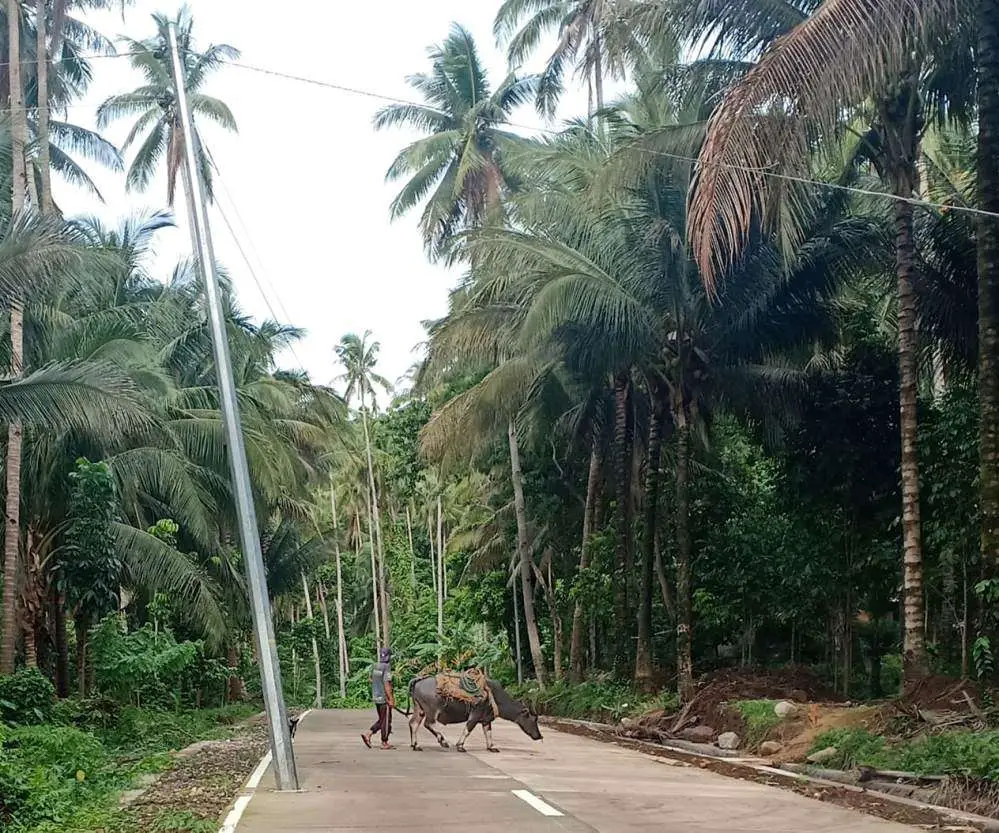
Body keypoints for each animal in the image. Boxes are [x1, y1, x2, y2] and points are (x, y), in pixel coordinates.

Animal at [408, 672, 544, 752]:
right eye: (533, 719)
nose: (539, 736)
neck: (494, 697)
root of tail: (418, 681)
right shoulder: (475, 715)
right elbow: (468, 729)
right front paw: (460, 746)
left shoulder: (486, 720)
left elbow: (488, 733)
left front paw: (491, 747)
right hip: (431, 710)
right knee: (428, 724)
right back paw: (443, 741)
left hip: (419, 709)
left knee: (413, 723)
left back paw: (416, 745)